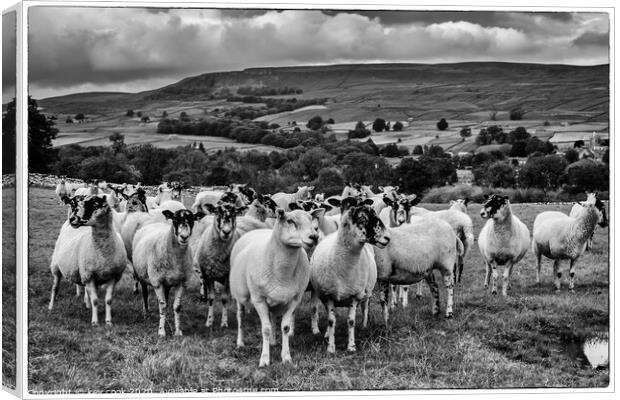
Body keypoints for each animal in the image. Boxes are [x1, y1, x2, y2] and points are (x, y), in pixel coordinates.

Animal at [48, 195, 127, 326]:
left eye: (95, 204)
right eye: (74, 204)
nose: (72, 219)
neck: (103, 253)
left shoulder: (113, 277)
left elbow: (108, 300)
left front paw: (108, 321)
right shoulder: (89, 277)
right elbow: (95, 300)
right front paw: (95, 322)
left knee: (85, 290)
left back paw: (87, 305)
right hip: (56, 267)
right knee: (55, 287)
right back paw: (51, 307)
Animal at [133, 208, 206, 336]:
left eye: (192, 220)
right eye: (175, 219)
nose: (184, 237)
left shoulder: (182, 282)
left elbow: (177, 307)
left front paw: (177, 331)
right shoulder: (157, 282)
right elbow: (162, 307)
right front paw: (161, 332)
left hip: (167, 283)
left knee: (166, 300)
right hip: (142, 275)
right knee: (145, 294)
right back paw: (146, 313)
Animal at [229, 206, 324, 366]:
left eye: (312, 221)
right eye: (290, 221)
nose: (314, 237)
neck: (282, 273)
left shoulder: (294, 299)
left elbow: (285, 328)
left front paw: (286, 358)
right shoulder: (259, 300)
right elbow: (265, 329)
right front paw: (264, 360)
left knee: (272, 317)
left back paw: (273, 342)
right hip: (240, 294)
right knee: (240, 316)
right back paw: (240, 342)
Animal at [308, 197, 390, 354]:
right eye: (362, 219)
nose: (387, 238)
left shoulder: (355, 295)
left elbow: (351, 321)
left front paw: (351, 346)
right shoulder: (328, 295)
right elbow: (331, 321)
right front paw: (331, 347)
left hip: (366, 291)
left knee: (365, 306)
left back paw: (364, 326)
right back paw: (327, 334)